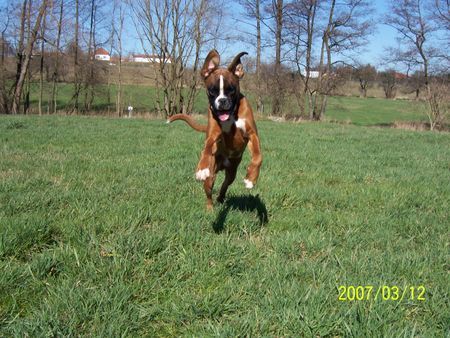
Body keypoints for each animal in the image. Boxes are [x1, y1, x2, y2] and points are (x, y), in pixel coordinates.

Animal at [167, 49, 262, 210]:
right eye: (212, 91)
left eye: (231, 90)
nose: (222, 100)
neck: (232, 116)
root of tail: (222, 165)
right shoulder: (213, 134)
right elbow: (207, 147)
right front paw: (201, 168)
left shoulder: (252, 135)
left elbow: (258, 156)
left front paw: (251, 179)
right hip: (211, 177)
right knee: (209, 192)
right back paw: (210, 208)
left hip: (231, 173)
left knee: (225, 185)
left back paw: (221, 198)